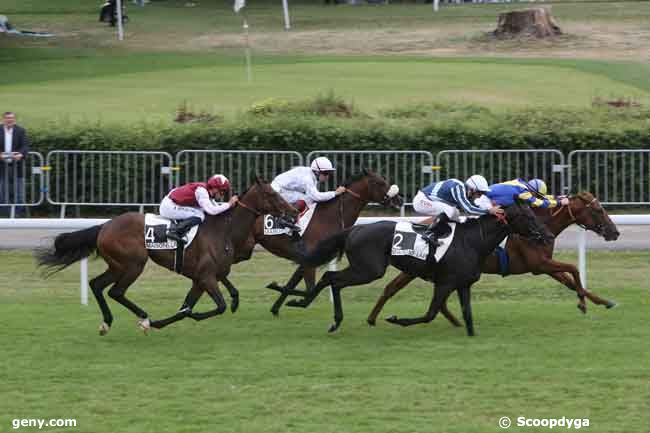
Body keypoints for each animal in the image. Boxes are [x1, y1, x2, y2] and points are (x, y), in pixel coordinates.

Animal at [36, 176, 296, 334]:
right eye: (272, 194)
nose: (293, 212)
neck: (224, 230)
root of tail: (104, 226)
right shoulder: (207, 276)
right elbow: (215, 307)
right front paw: (189, 316)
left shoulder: (200, 279)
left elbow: (186, 308)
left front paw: (161, 323)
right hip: (133, 264)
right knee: (116, 291)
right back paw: (142, 317)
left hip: (118, 265)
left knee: (97, 284)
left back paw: (108, 322)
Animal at [216, 166, 400, 314]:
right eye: (380, 182)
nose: (399, 199)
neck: (330, 216)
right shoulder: (309, 261)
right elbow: (309, 289)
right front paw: (283, 292)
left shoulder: (306, 260)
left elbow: (294, 285)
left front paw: (276, 307)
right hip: (241, 248)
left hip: (244, 250)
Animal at [286, 200, 548, 334]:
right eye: (529, 217)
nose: (545, 235)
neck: (473, 241)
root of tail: (355, 228)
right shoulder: (445, 283)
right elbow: (430, 314)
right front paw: (396, 319)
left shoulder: (463, 284)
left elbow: (467, 314)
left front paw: (471, 334)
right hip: (369, 270)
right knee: (331, 277)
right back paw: (312, 308)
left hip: (366, 269)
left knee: (331, 278)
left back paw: (320, 311)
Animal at [364, 191, 616, 326]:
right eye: (598, 210)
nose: (614, 232)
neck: (539, 226)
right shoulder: (539, 264)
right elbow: (573, 269)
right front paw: (584, 302)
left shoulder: (543, 266)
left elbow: (570, 279)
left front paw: (600, 301)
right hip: (416, 269)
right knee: (392, 288)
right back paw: (374, 317)